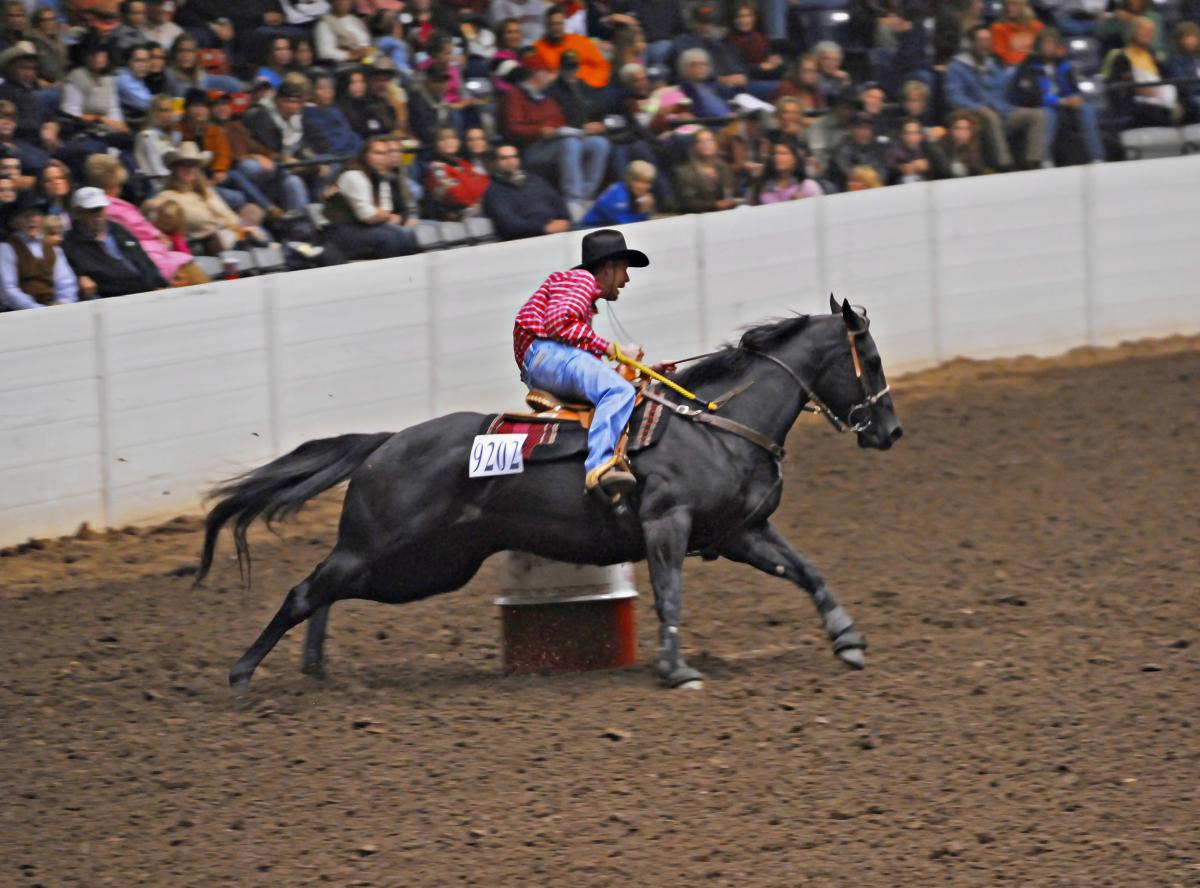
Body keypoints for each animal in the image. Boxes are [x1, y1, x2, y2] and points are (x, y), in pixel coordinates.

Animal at [196, 297, 903, 689]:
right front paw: (674, 669)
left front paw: (847, 638)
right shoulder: (666, 526)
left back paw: (316, 669)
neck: (719, 424)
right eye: (867, 356)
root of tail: (386, 442)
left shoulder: (740, 532)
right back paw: (242, 674)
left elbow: (806, 570)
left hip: (425, 566)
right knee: (305, 590)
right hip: (385, 547)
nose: (890, 431)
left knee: (327, 592)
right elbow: (670, 593)